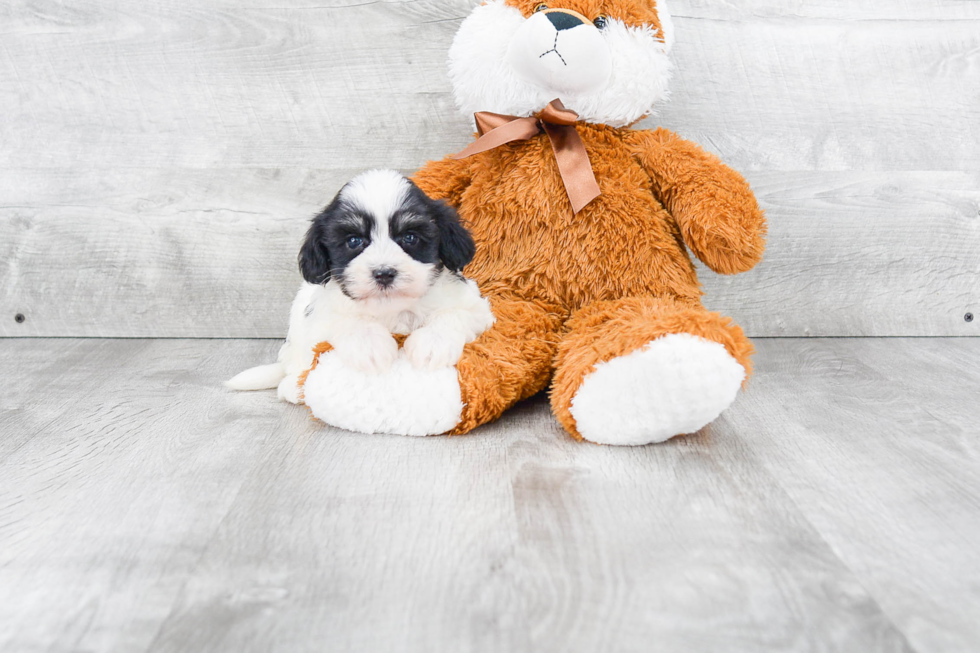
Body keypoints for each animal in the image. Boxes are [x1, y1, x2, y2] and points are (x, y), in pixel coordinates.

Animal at [226, 168, 494, 402]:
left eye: (409, 237)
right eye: (354, 241)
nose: (384, 273)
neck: (392, 308)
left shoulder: (477, 308)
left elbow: (454, 314)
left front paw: (432, 344)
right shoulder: (321, 314)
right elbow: (348, 320)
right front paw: (370, 347)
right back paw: (293, 385)